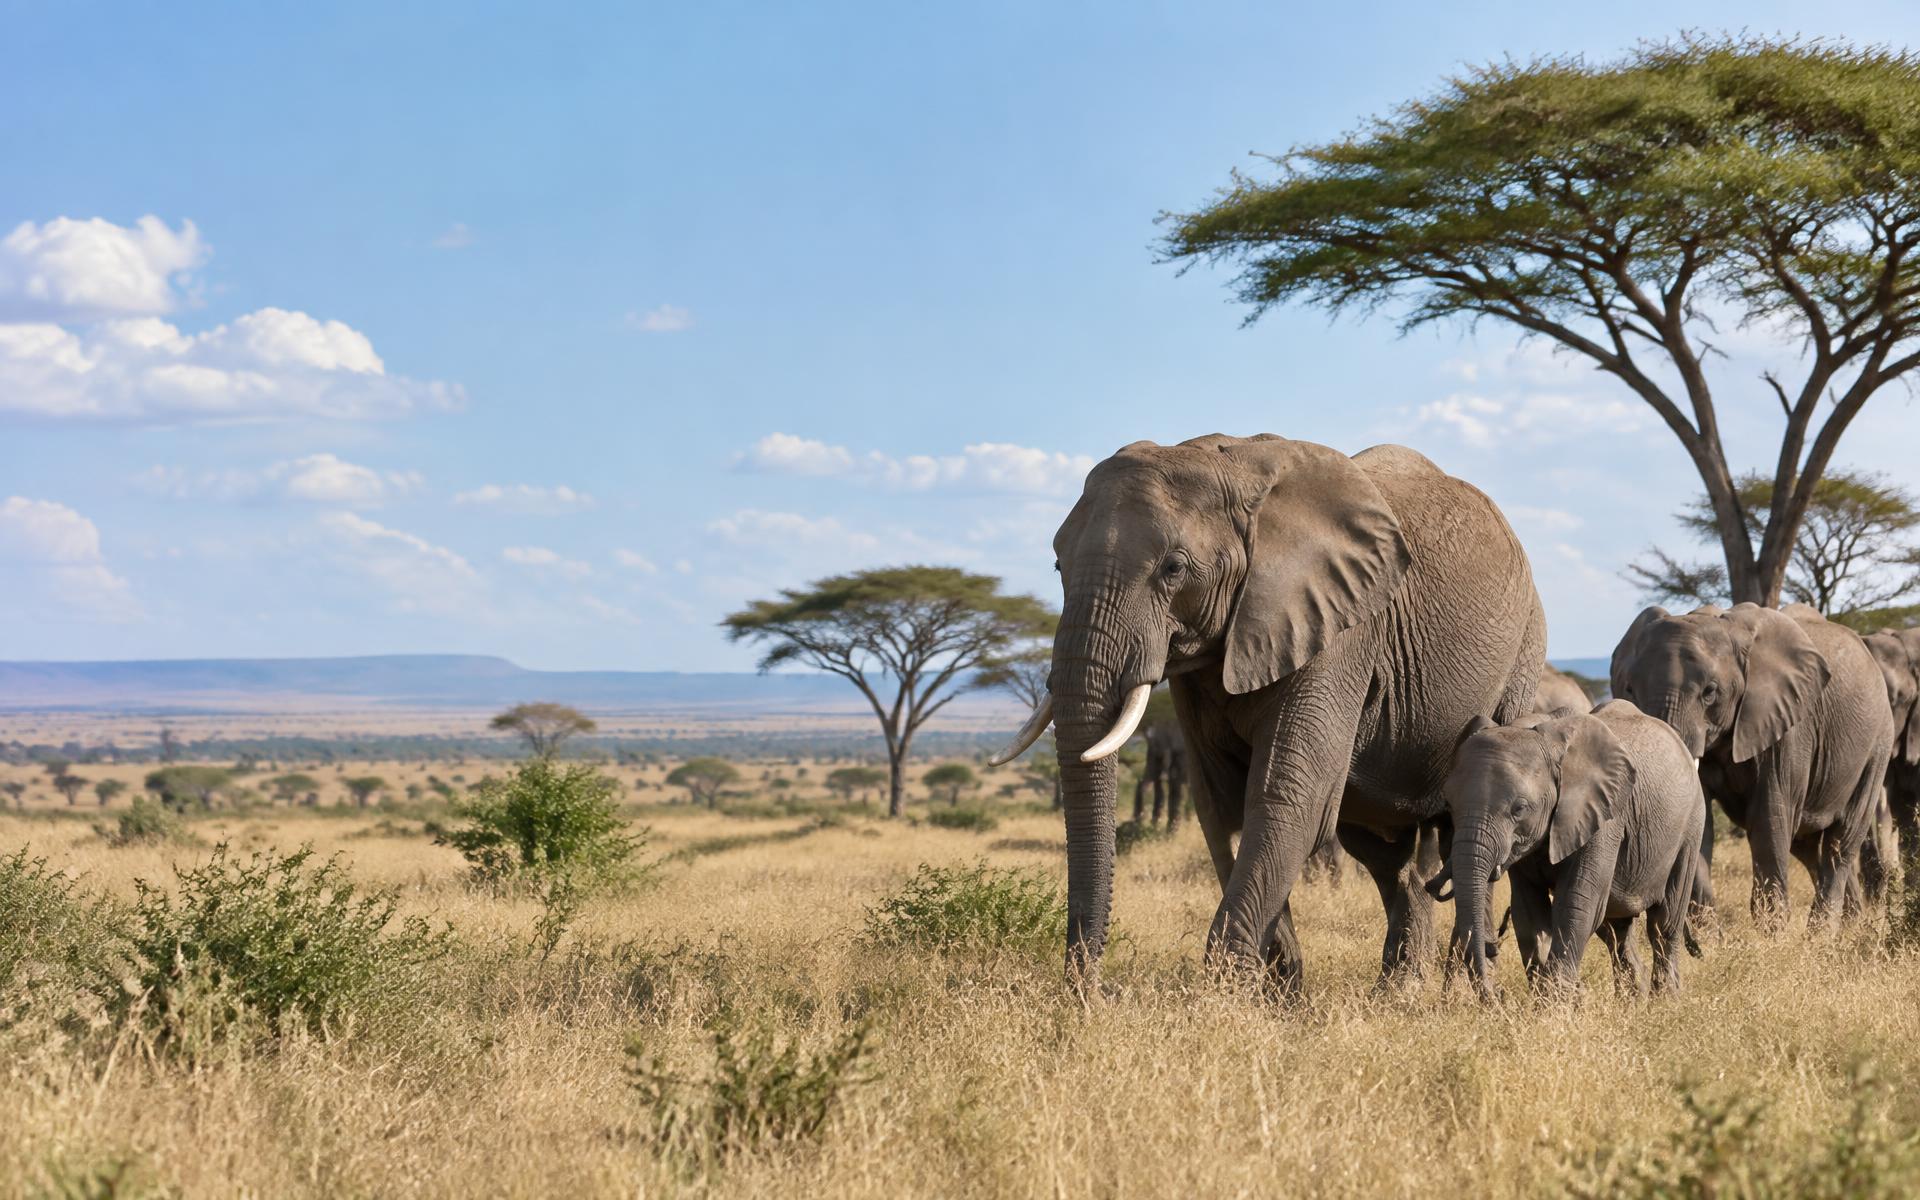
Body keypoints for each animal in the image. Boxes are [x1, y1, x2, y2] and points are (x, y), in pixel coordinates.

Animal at [990, 434, 1546, 987]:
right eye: (1058, 567)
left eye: (1174, 568)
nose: (1090, 989)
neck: (1232, 469)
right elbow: (1221, 801)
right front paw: (1278, 992)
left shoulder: (1339, 630)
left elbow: (1288, 796)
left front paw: (1224, 991)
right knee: (1384, 852)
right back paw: (1401, 989)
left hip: (1524, 650)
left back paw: (1461, 983)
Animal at [1428, 702, 1704, 997]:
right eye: (1449, 804)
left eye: (1519, 809)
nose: (1497, 994)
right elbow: (1528, 911)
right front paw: (1548, 998)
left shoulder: (1603, 818)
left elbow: (1576, 904)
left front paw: (1556, 1000)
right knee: (1616, 930)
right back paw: (1632, 1001)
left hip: (1691, 825)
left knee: (1664, 924)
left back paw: (1664, 999)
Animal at [1610, 603, 1894, 929]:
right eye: (1629, 689)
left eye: (1710, 692)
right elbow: (1703, 821)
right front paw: (1709, 935)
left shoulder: (1787, 726)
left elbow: (1769, 816)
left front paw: (1773, 932)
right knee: (1809, 848)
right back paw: (1850, 925)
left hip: (1878, 742)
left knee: (1842, 840)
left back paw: (1823, 932)